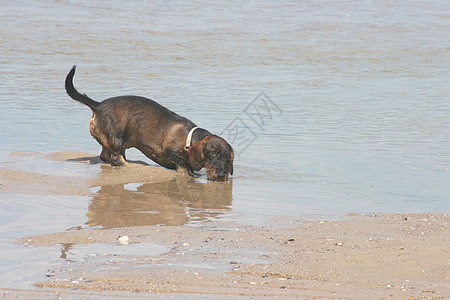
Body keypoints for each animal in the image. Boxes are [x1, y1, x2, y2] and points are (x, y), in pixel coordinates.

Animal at [65, 65, 234, 180]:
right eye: (212, 154)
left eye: (227, 157)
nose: (221, 175)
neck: (189, 138)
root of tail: (98, 105)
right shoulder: (172, 151)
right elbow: (184, 166)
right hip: (116, 138)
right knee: (116, 159)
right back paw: (133, 166)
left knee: (106, 156)